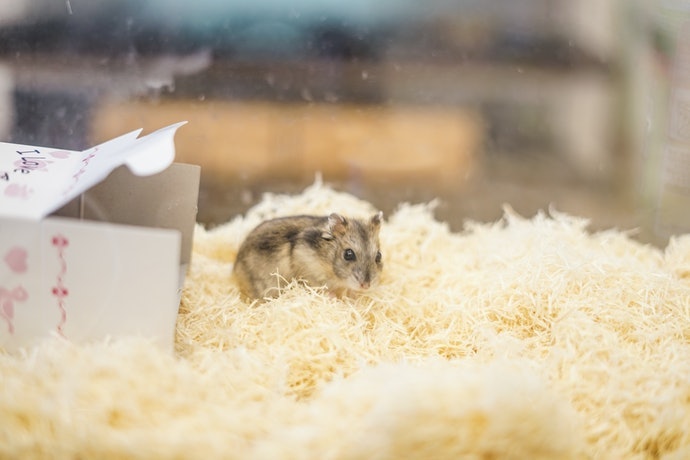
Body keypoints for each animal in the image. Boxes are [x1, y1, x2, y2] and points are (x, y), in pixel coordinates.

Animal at [233, 212, 383, 300]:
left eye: (379, 256)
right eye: (348, 254)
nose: (366, 286)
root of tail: (235, 270)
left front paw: (353, 295)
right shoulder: (307, 270)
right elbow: (318, 287)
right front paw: (333, 297)